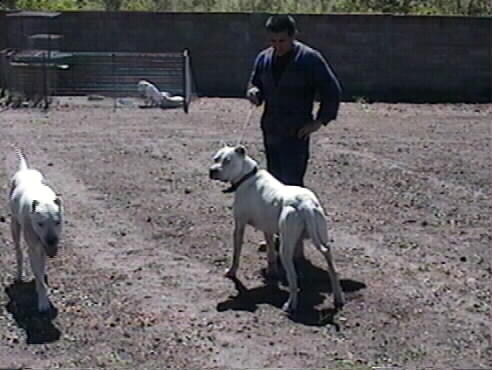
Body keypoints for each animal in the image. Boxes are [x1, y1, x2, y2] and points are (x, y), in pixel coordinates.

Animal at [8, 149, 63, 310]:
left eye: (57, 222)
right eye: (40, 224)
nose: (51, 240)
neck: (43, 199)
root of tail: (25, 170)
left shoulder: (43, 249)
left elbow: (40, 270)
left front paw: (41, 288)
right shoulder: (33, 249)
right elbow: (37, 272)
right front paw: (43, 301)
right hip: (14, 226)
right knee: (19, 252)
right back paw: (19, 274)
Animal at [209, 146, 344, 314]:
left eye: (227, 161)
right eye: (216, 159)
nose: (212, 171)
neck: (247, 176)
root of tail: (306, 205)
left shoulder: (239, 226)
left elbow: (236, 253)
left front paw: (231, 272)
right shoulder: (267, 229)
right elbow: (271, 252)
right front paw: (271, 272)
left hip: (286, 248)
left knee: (293, 278)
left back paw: (290, 305)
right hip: (322, 238)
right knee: (332, 268)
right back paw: (338, 298)